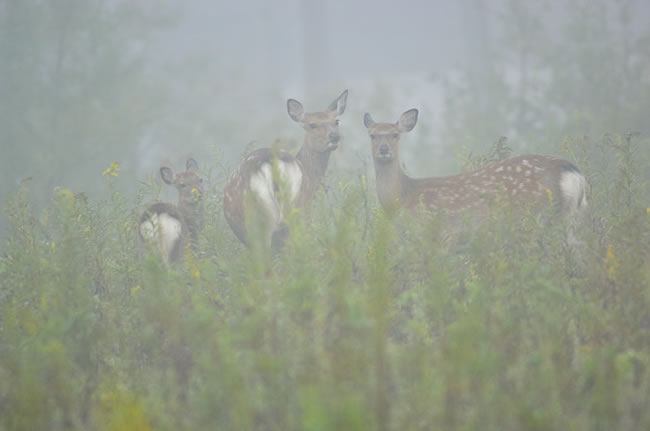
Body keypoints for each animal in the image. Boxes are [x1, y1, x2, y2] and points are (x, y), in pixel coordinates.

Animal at [362, 111, 584, 231]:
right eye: (372, 135)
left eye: (395, 135)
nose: (384, 150)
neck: (403, 197)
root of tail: (571, 172)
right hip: (569, 218)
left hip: (535, 215)